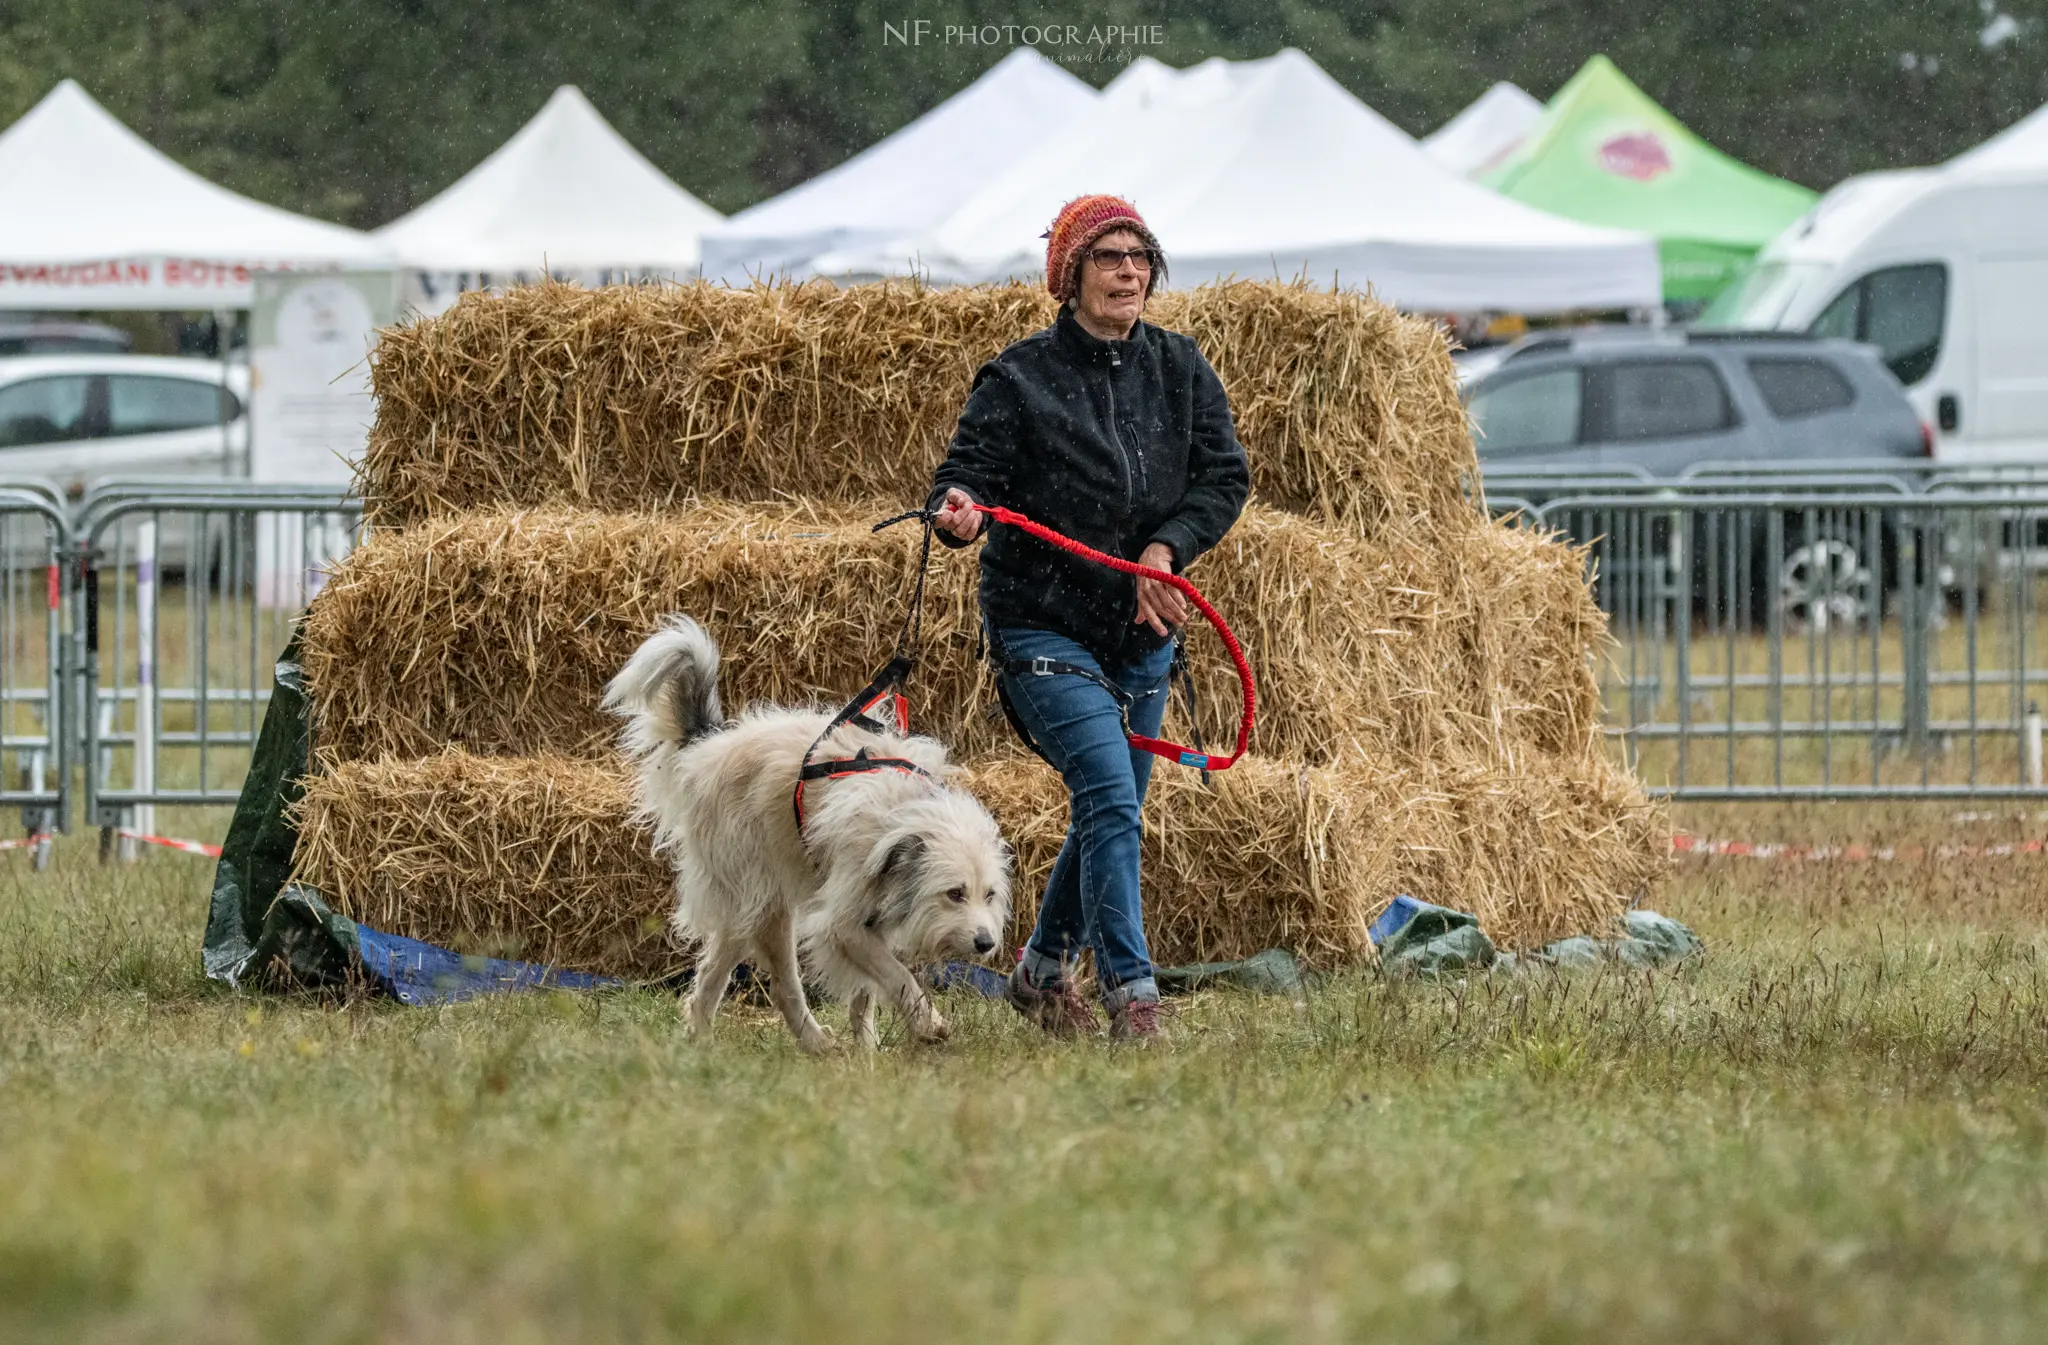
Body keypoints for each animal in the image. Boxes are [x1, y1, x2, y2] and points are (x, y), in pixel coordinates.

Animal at [602, 618, 1011, 1048]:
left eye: (989, 895)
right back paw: (808, 1041)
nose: (986, 943)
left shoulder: (872, 922)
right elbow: (897, 975)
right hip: (764, 902)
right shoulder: (843, 926)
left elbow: (864, 995)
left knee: (714, 973)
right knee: (780, 985)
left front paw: (867, 1052)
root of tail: (706, 747)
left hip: (746, 910)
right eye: (954, 893)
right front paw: (927, 1023)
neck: (903, 813)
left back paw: (703, 1038)